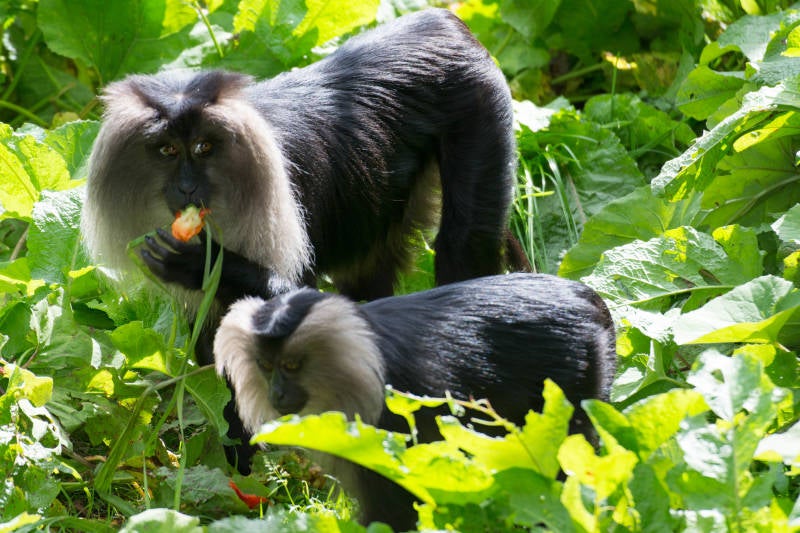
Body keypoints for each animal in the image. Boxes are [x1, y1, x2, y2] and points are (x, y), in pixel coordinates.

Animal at [213, 273, 618, 529]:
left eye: (291, 366)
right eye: (266, 367)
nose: (277, 394)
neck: (365, 356)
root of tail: (591, 301)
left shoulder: (390, 419)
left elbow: (394, 509)